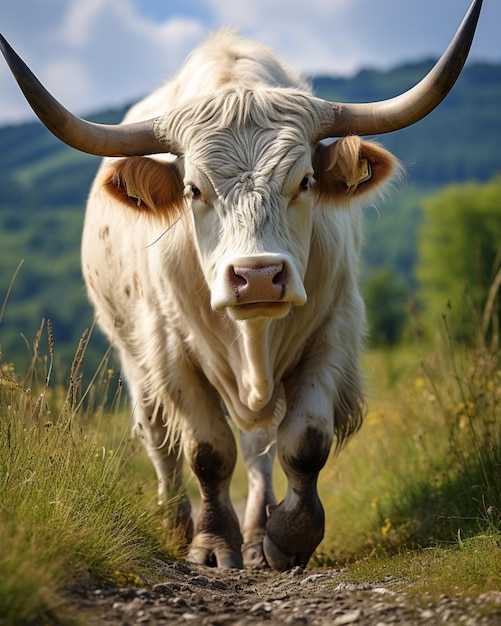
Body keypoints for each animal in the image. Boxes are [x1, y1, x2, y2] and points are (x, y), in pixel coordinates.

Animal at [0, 0, 484, 568]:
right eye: (193, 189)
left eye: (305, 181)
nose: (257, 277)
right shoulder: (171, 352)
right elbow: (207, 451)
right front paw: (211, 543)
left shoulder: (334, 332)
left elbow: (304, 441)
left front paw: (288, 536)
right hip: (133, 354)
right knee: (159, 438)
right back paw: (174, 521)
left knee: (258, 450)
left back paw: (255, 531)